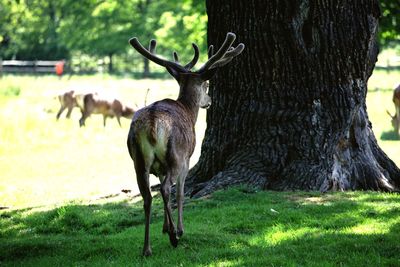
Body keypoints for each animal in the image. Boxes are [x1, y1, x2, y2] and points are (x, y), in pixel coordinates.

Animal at [126, 32, 245, 256]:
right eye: (206, 85)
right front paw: (177, 229)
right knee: (167, 189)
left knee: (148, 196)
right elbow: (180, 193)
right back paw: (175, 237)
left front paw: (165, 227)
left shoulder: (160, 167)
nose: (209, 100)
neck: (189, 111)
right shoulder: (187, 158)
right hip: (176, 155)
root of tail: (153, 123)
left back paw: (147, 248)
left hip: (138, 159)